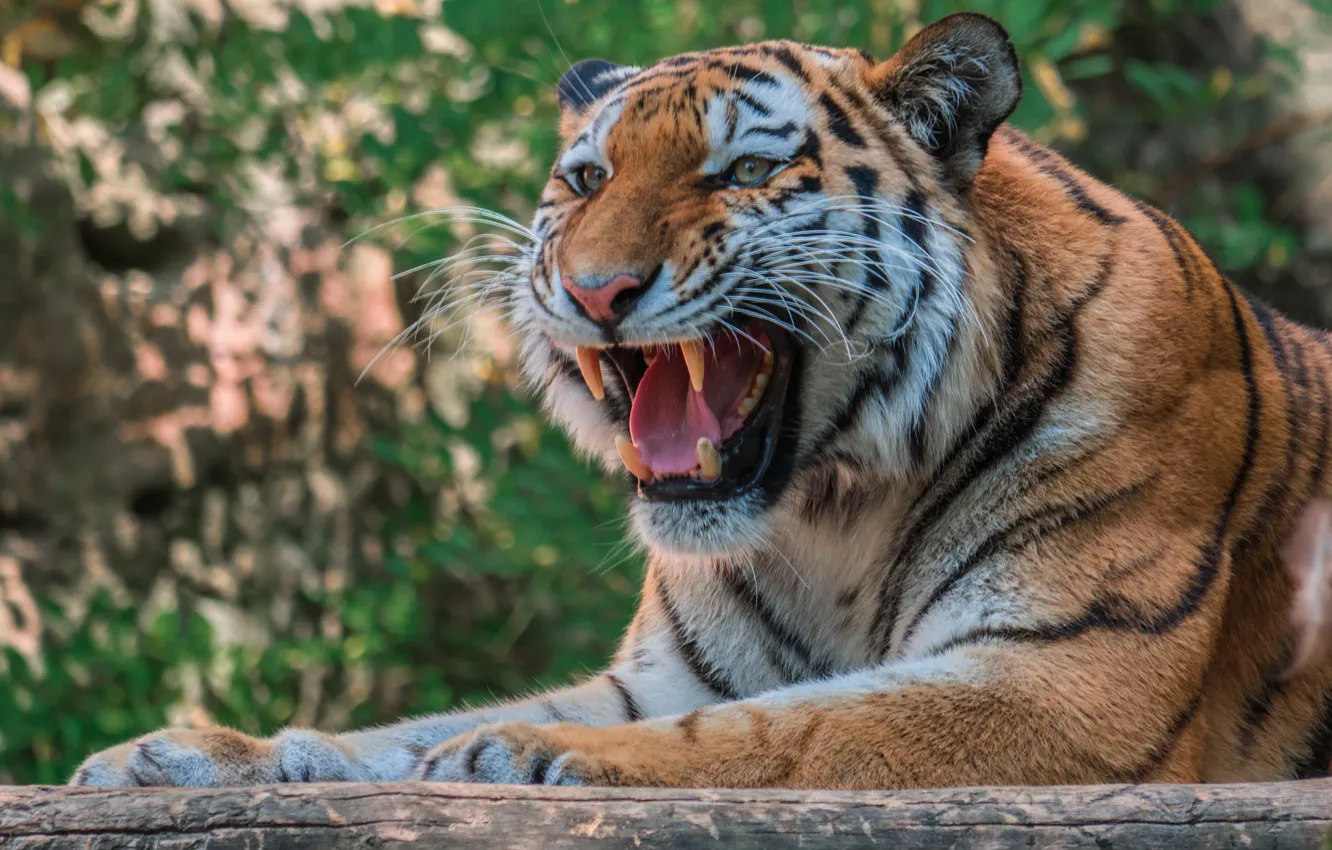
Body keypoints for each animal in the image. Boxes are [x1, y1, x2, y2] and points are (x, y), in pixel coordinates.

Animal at [72, 12, 1332, 790]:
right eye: (586, 179)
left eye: (745, 173)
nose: (596, 289)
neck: (835, 514)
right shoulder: (667, 673)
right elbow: (396, 733)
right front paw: (187, 757)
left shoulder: (1064, 678)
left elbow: (803, 724)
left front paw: (507, 752)